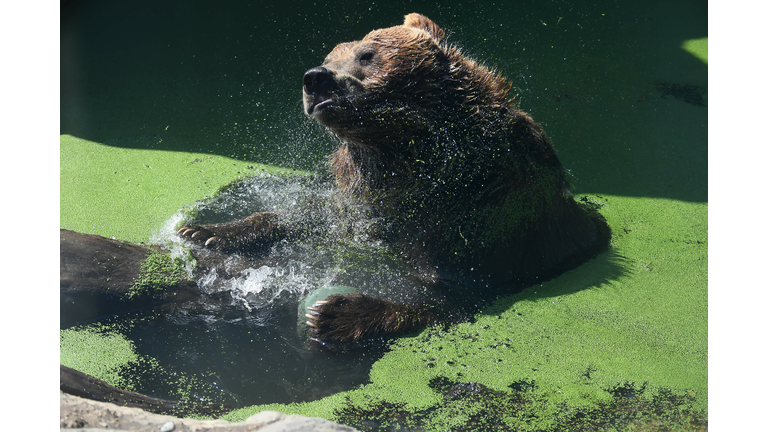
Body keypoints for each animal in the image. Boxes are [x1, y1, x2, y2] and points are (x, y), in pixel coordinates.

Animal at [177, 13, 608, 348]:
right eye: (330, 56)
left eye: (367, 55)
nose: (315, 78)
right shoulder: (365, 204)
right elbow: (313, 214)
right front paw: (207, 230)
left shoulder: (487, 221)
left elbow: (448, 297)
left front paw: (338, 312)